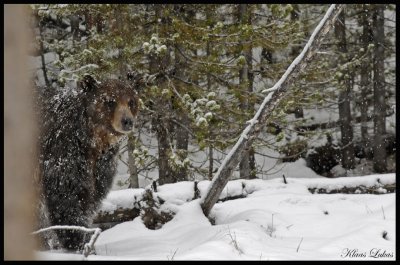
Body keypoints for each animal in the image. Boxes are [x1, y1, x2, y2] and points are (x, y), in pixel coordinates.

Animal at [37, 74, 140, 250]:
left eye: (131, 101)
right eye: (110, 101)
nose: (127, 121)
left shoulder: (101, 167)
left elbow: (91, 198)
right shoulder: (65, 154)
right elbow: (68, 198)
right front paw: (76, 240)